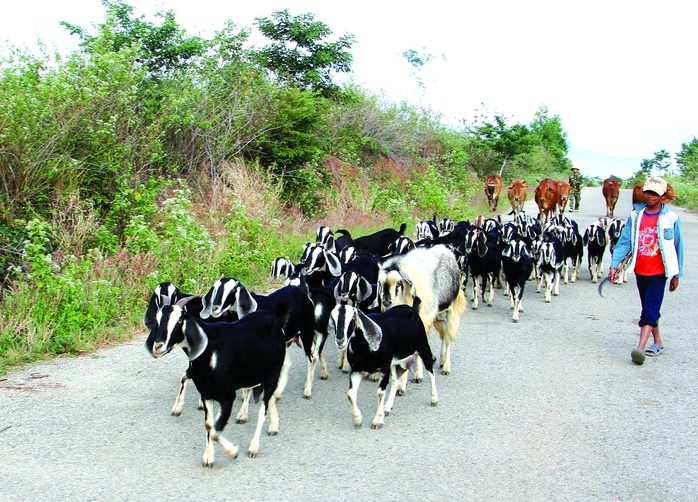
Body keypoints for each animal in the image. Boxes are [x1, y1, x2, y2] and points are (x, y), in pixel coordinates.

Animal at [144, 298, 286, 466]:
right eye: (157, 320)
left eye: (179, 321)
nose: (158, 346)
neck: (209, 351)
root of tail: (271, 318)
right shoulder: (206, 394)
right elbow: (209, 425)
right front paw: (208, 457)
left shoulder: (227, 397)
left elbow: (215, 429)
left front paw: (232, 452)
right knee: (266, 398)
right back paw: (273, 426)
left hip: (273, 372)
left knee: (262, 410)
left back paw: (253, 447)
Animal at [328, 300, 438, 430]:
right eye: (332, 317)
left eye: (353, 318)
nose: (340, 340)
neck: (364, 349)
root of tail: (412, 309)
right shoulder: (356, 370)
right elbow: (350, 394)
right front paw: (357, 420)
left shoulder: (384, 368)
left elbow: (380, 393)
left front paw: (378, 421)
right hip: (395, 361)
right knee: (396, 380)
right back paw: (387, 408)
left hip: (422, 345)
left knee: (430, 369)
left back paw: (434, 399)